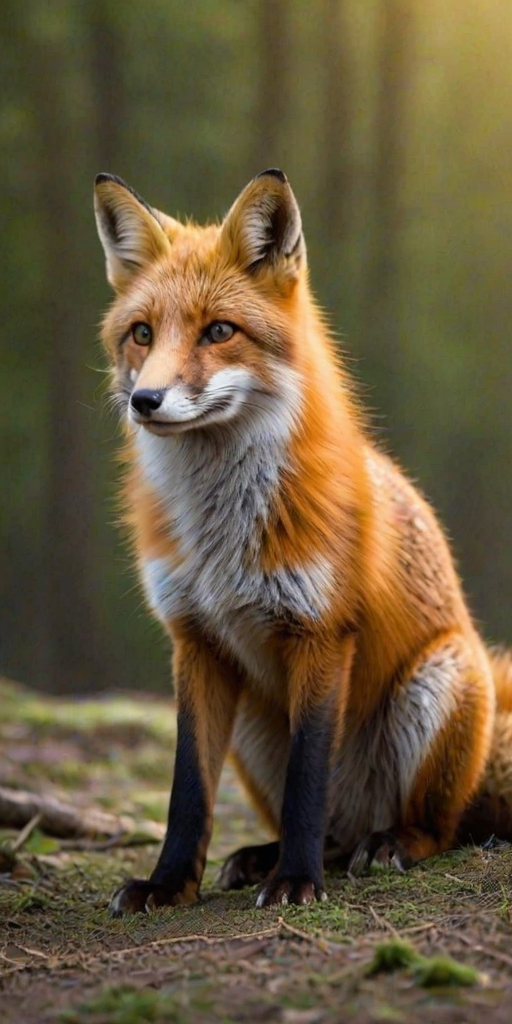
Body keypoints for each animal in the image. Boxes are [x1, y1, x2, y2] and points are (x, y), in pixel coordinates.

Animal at [93, 168, 512, 915]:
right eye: (141, 334)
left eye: (219, 331)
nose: (146, 401)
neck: (220, 536)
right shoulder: (194, 640)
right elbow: (187, 790)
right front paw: (168, 884)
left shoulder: (322, 631)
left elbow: (307, 781)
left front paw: (296, 880)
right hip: (254, 727)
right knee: (336, 831)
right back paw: (270, 855)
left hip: (438, 684)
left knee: (434, 827)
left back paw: (387, 843)